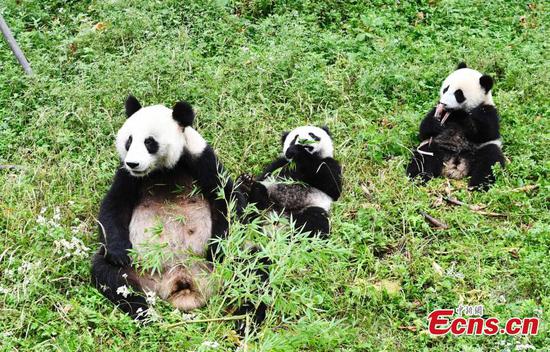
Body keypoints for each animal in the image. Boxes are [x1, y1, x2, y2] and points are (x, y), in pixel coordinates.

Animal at [91, 95, 266, 322]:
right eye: (129, 140)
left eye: (149, 142)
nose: (133, 163)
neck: (163, 170)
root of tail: (182, 284)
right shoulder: (127, 176)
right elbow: (114, 206)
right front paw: (120, 253)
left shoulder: (201, 160)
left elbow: (228, 200)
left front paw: (217, 248)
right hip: (139, 269)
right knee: (108, 273)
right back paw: (144, 312)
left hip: (227, 266)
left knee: (254, 268)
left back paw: (246, 318)